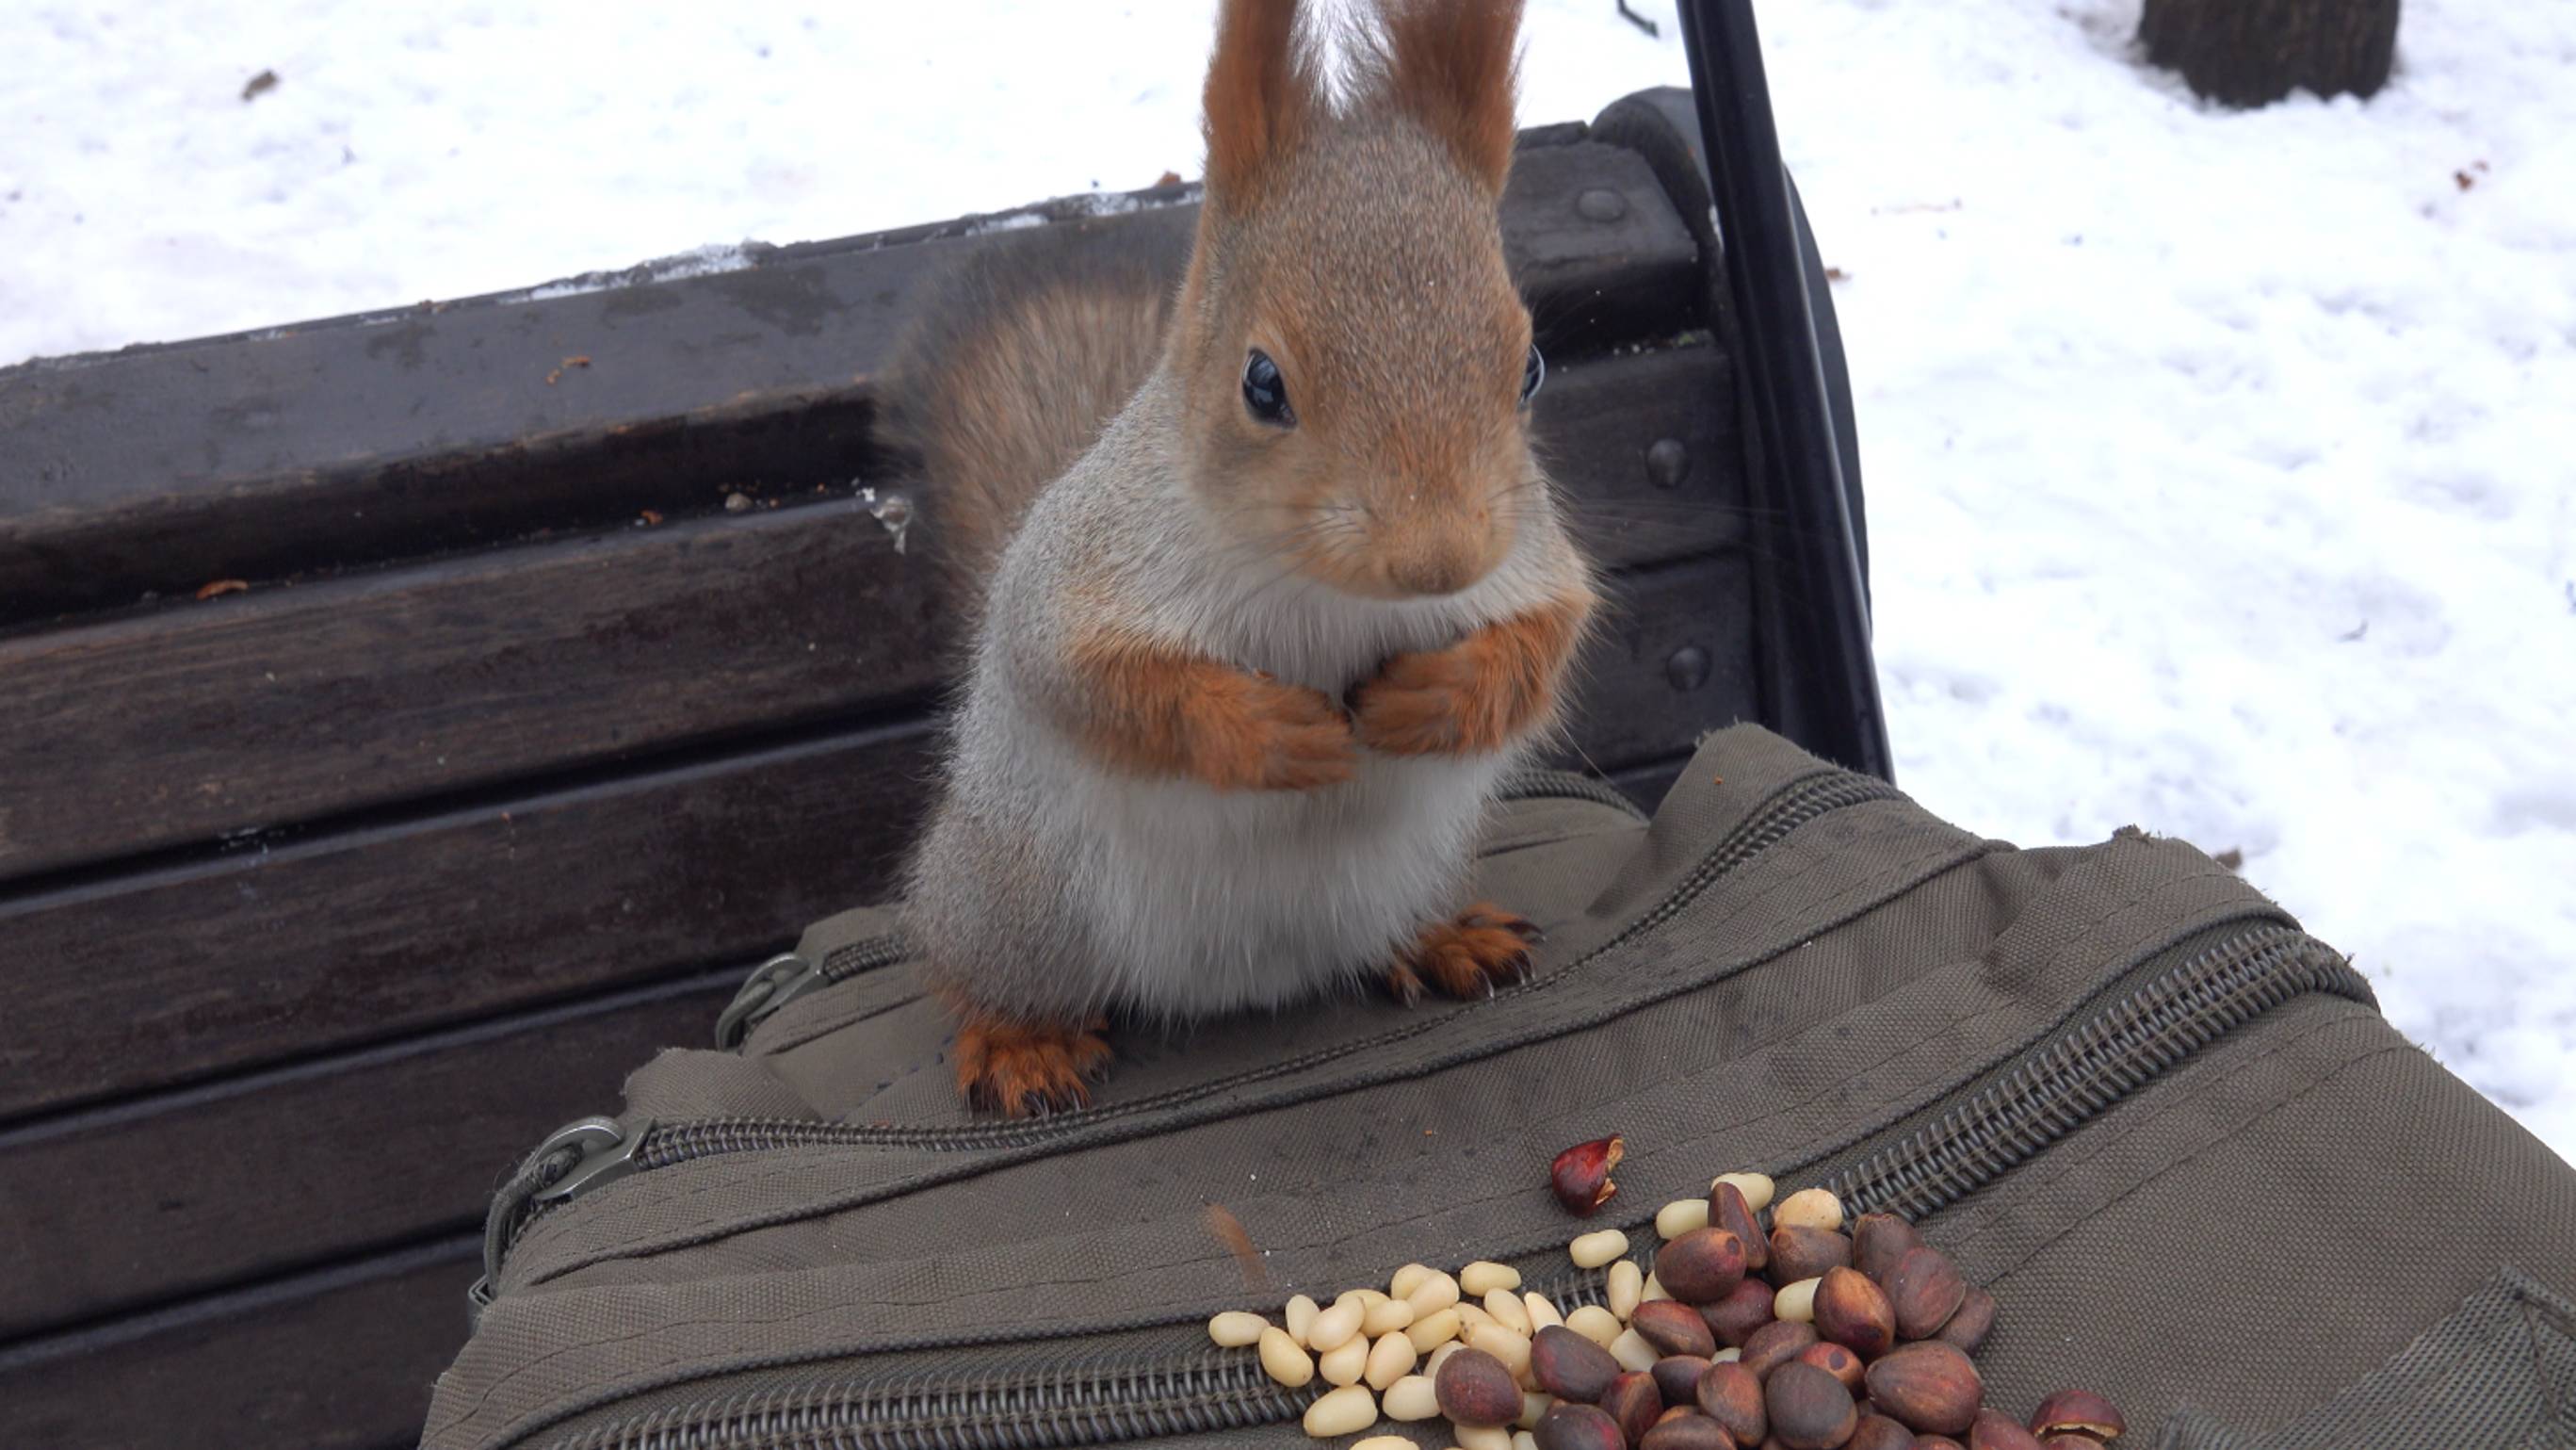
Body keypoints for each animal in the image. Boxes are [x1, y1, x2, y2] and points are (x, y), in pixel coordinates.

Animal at [881, 0, 1586, 1117]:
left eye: (1531, 365)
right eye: (1261, 382)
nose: (1437, 562)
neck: (1327, 593)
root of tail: (1244, 983)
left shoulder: (1531, 553)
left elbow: (1545, 641)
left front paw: (1434, 699)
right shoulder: (1080, 574)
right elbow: (1094, 682)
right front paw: (1271, 731)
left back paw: (1439, 938)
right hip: (1013, 899)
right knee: (981, 974)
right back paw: (1017, 1042)